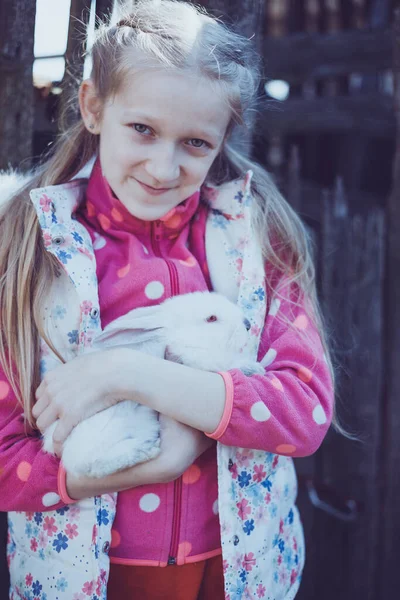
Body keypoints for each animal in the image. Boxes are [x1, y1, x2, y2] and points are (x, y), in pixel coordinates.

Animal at [42, 290, 264, 478]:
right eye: (211, 318)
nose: (247, 324)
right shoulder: (196, 358)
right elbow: (223, 363)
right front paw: (252, 367)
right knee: (90, 464)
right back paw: (144, 451)